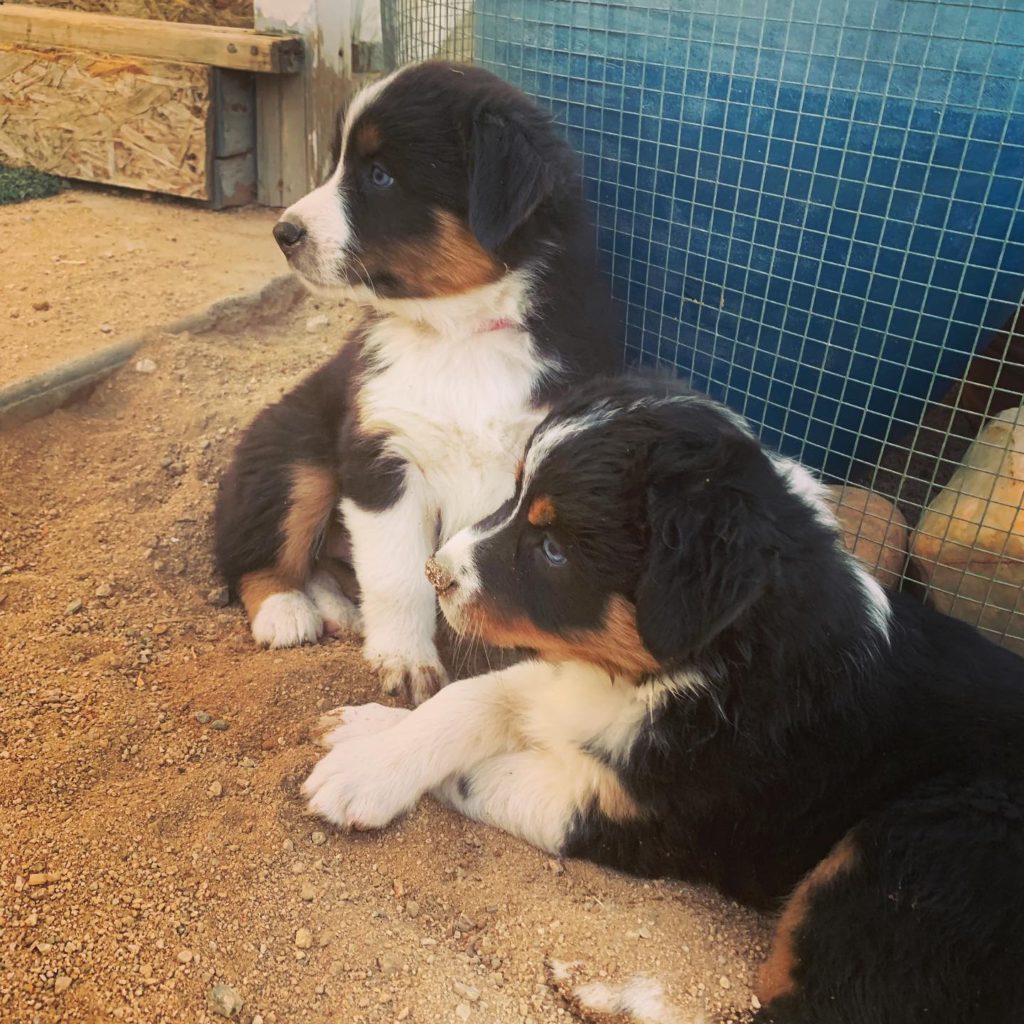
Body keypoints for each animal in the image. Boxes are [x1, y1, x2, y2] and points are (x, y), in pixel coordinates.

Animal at [212, 61, 614, 704]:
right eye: (339, 164)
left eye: (380, 176)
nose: (283, 232)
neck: (460, 334)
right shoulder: (382, 456)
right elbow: (397, 576)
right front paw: (403, 662)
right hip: (296, 456)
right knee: (257, 553)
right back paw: (287, 611)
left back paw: (338, 611)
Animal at [301, 376, 1024, 1024]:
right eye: (515, 497)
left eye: (553, 549)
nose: (435, 573)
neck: (702, 665)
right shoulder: (567, 680)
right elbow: (472, 699)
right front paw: (372, 738)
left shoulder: (641, 814)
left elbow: (484, 772)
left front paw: (356, 777)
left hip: (914, 853)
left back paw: (598, 990)